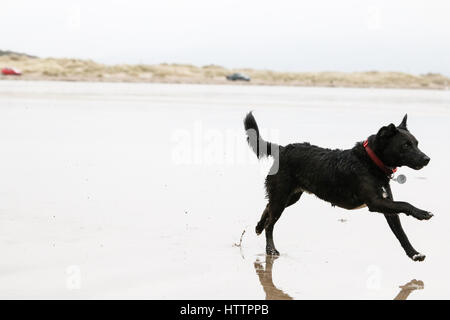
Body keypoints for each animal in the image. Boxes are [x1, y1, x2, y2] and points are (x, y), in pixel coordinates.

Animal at [246, 112, 432, 260]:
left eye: (417, 143)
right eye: (406, 145)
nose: (427, 159)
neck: (370, 161)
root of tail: (283, 149)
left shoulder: (387, 206)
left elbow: (401, 233)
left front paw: (414, 253)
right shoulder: (376, 202)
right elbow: (405, 204)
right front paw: (422, 213)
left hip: (290, 197)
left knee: (268, 208)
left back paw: (258, 227)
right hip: (281, 196)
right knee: (270, 223)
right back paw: (271, 249)